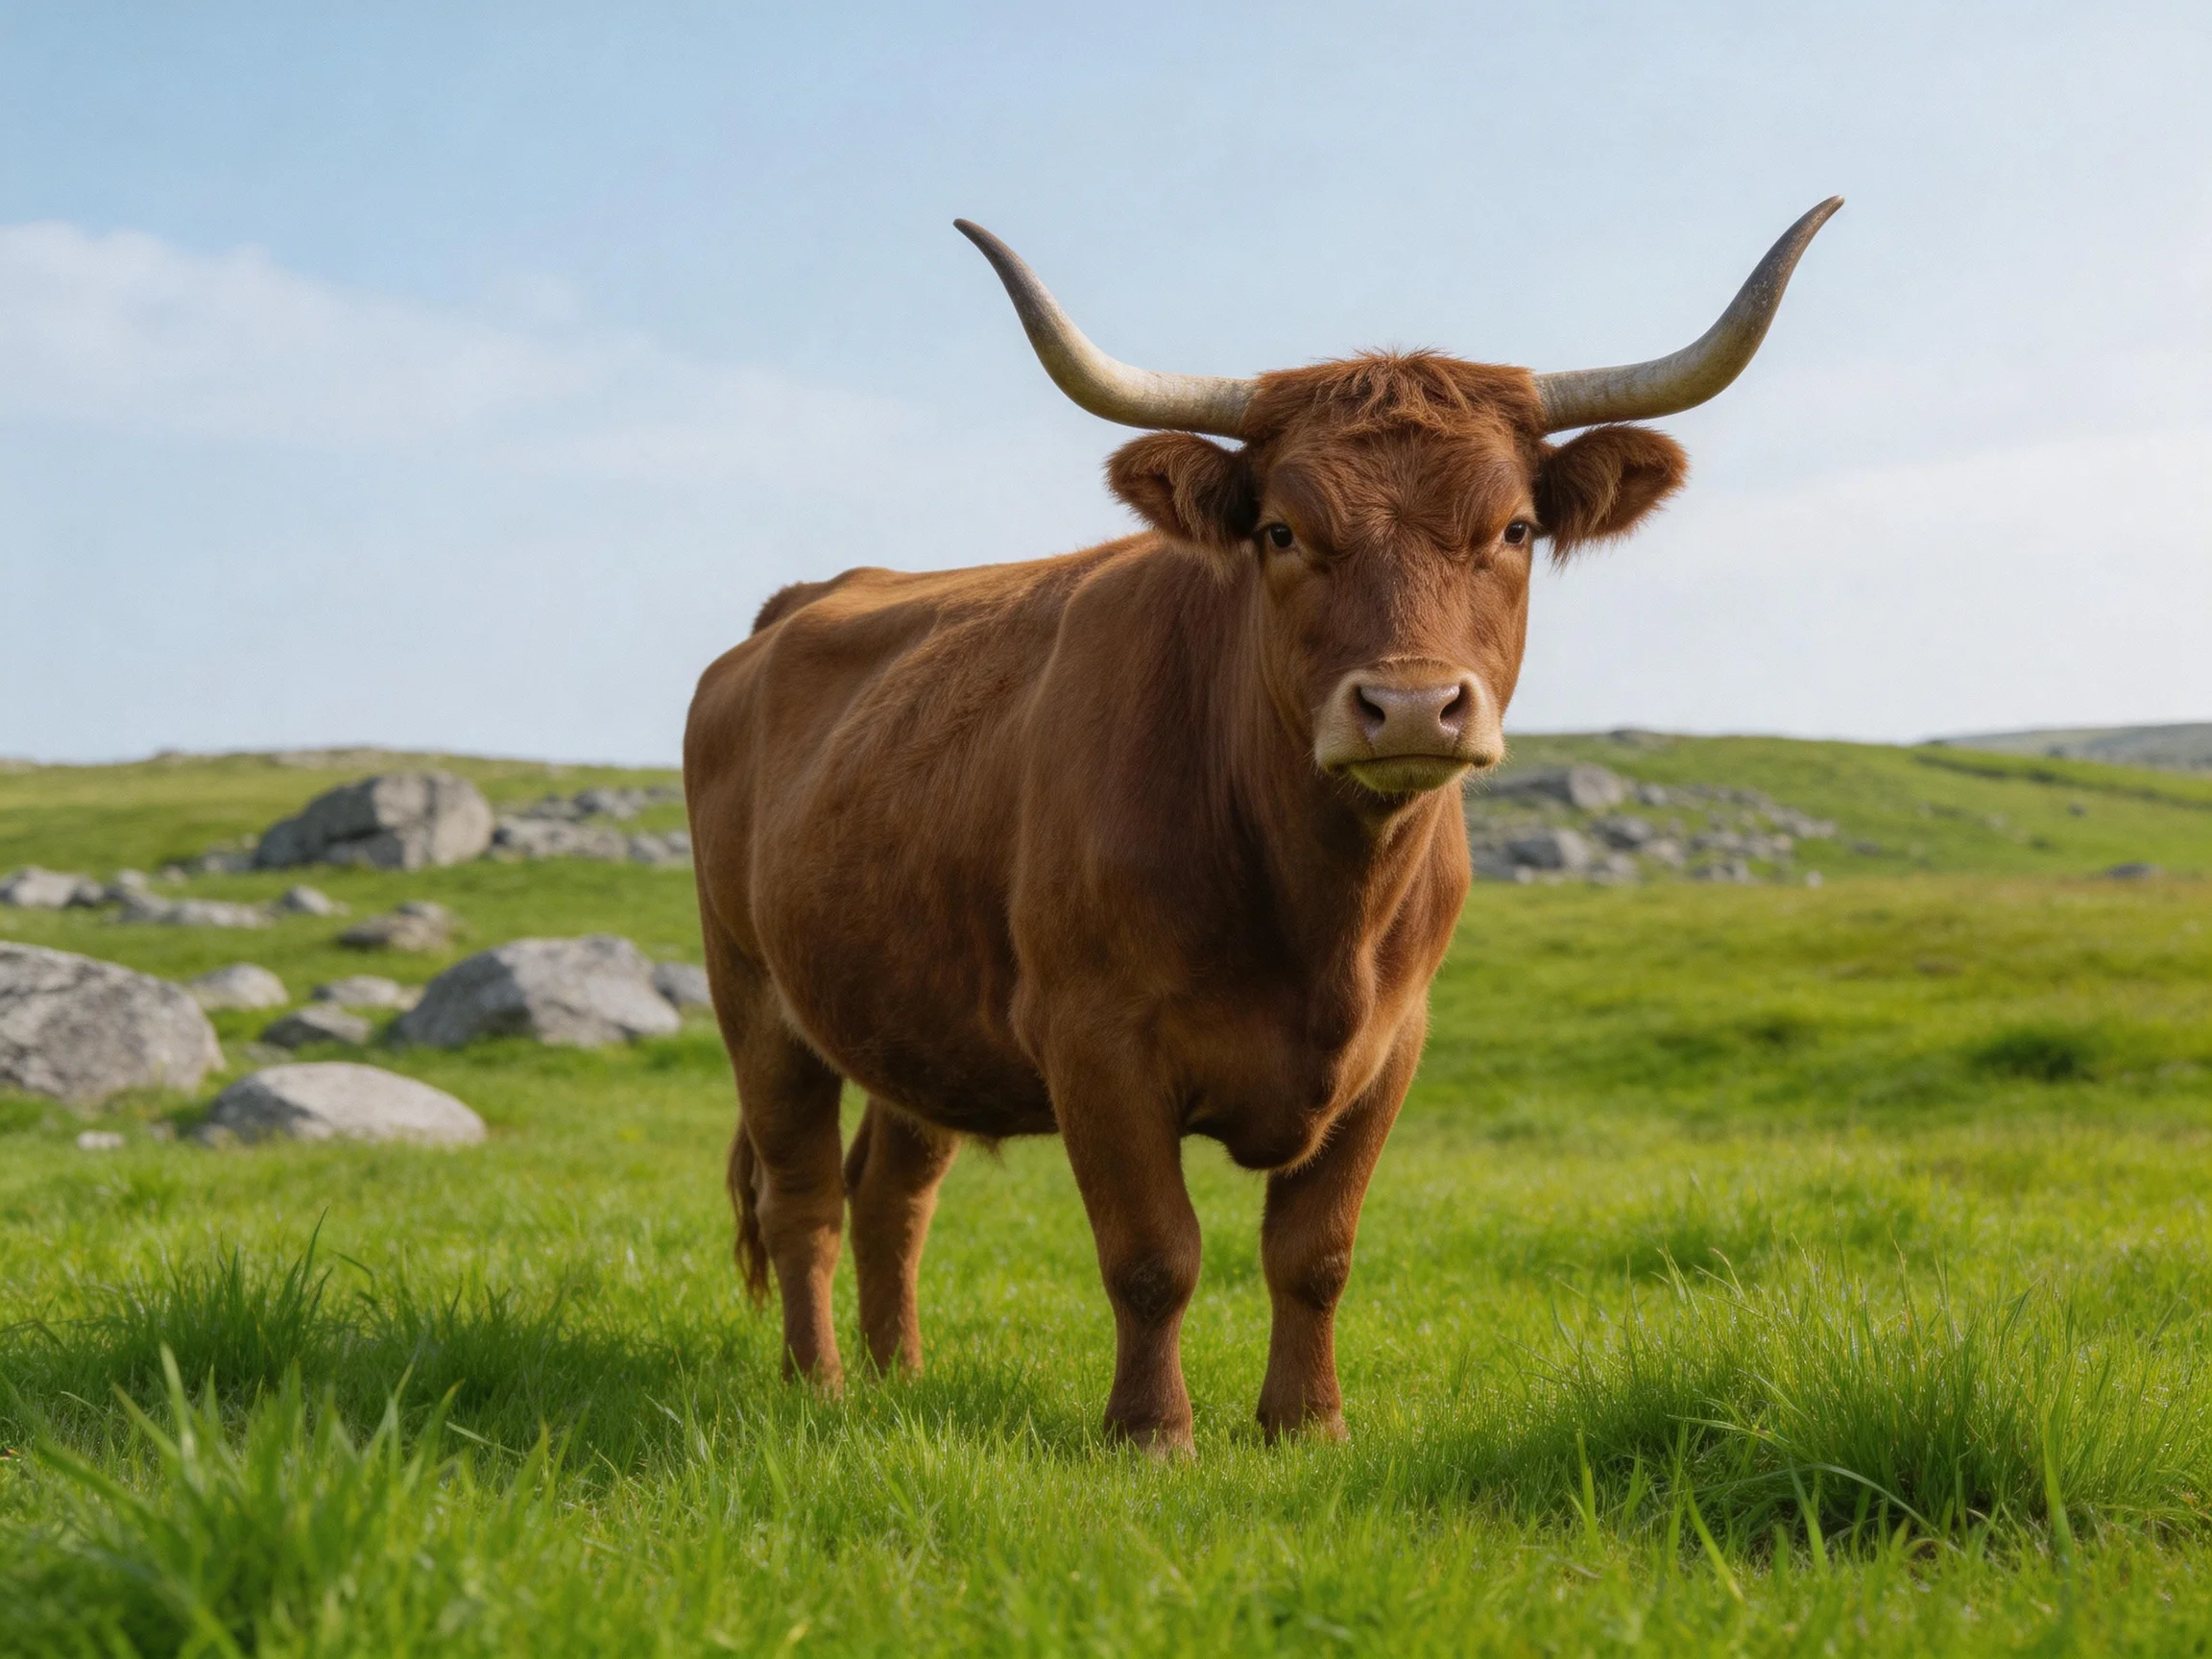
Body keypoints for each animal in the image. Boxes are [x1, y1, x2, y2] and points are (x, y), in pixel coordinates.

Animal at [684, 199, 1840, 1454]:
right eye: (1282, 531)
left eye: (1517, 528)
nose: (1410, 706)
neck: (1319, 913)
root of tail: (800, 605)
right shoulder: (1096, 1040)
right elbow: (1153, 1255)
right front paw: (1151, 1434)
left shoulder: (1392, 1047)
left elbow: (1313, 1253)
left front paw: (1306, 1423)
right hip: (756, 1000)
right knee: (803, 1200)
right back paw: (821, 1387)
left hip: (913, 1019)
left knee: (893, 1194)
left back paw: (902, 1382)